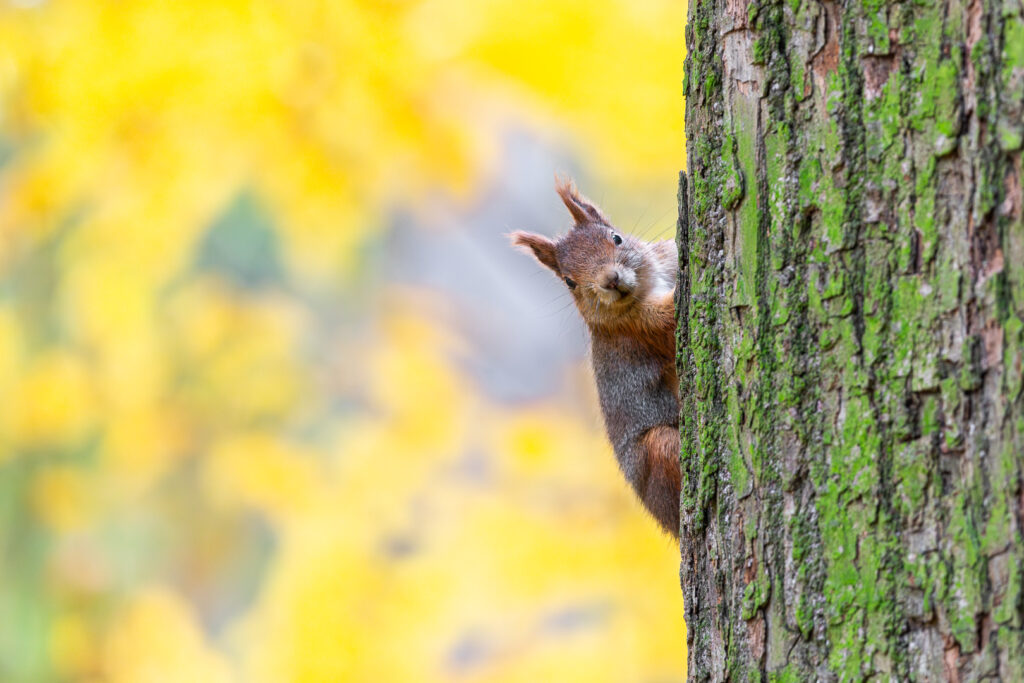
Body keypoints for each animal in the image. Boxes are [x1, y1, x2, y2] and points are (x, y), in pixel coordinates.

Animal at [511, 178, 681, 537]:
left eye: (616, 237)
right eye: (569, 281)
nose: (609, 280)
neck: (648, 285)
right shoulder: (639, 329)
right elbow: (669, 321)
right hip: (657, 450)